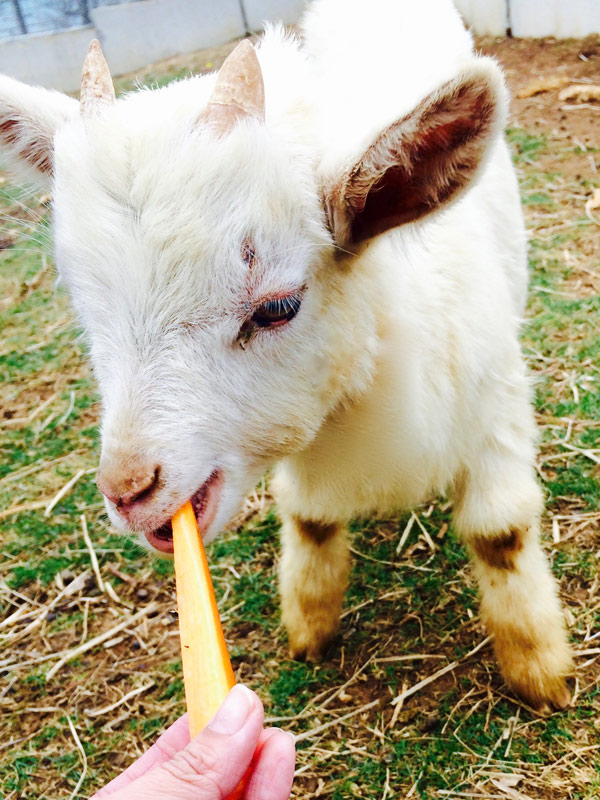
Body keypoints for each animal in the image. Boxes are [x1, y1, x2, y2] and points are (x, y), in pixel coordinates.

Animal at [0, 0, 572, 712]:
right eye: (81, 300)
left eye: (277, 307)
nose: (129, 491)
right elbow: (311, 518)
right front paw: (308, 623)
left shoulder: (492, 405)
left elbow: (501, 533)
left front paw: (539, 668)